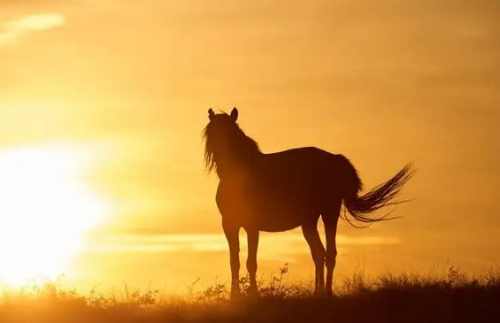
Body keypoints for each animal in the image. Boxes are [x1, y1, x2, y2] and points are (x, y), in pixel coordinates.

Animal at [203, 107, 414, 298]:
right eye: (211, 133)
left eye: (229, 133)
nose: (218, 160)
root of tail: (336, 160)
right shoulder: (229, 224)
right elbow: (234, 261)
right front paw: (234, 296)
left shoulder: (252, 226)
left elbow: (250, 262)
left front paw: (253, 295)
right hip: (309, 222)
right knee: (318, 254)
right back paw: (316, 292)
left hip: (329, 213)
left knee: (330, 254)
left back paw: (327, 293)